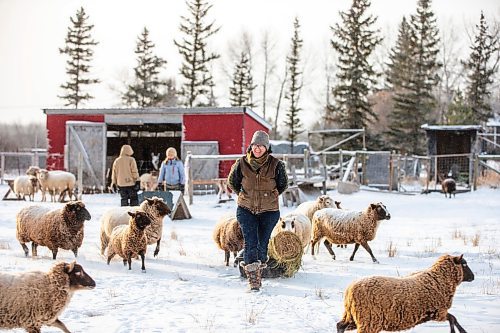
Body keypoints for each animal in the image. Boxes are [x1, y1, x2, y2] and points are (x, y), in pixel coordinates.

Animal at [338, 253, 474, 330]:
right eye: (464, 264)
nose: (473, 277)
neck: (439, 279)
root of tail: (349, 291)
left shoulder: (434, 313)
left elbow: (453, 319)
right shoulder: (437, 311)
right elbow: (453, 319)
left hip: (353, 316)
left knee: (340, 326)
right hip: (368, 319)